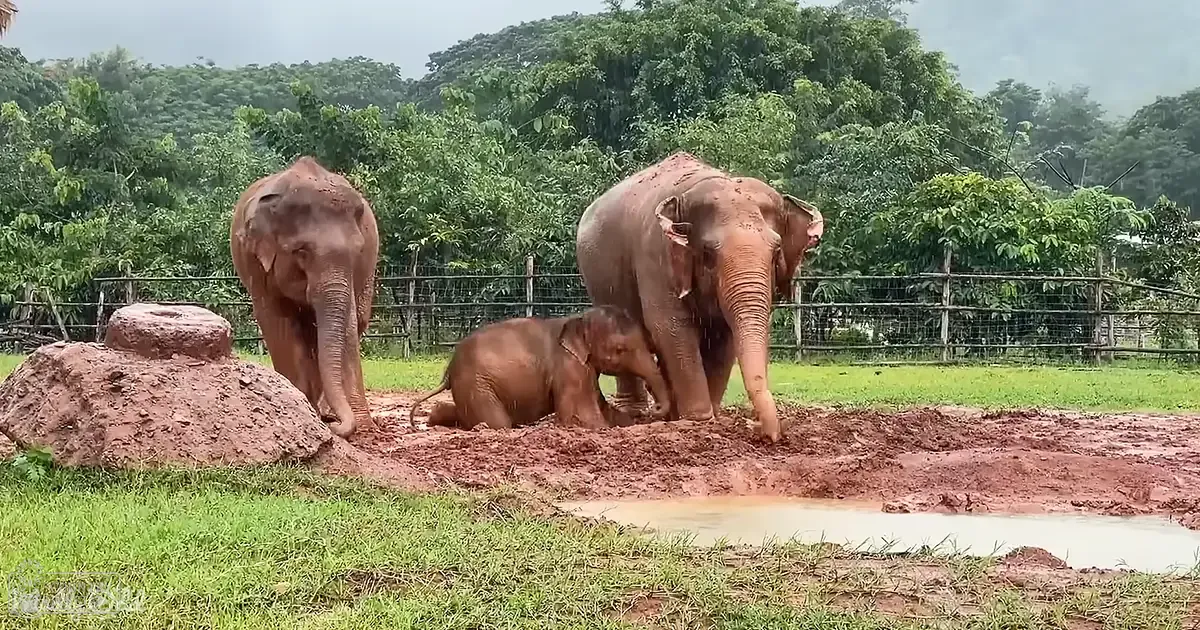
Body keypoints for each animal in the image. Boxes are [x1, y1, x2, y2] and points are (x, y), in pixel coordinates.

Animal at [230, 156, 380, 438]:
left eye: (358, 250)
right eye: (301, 252)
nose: (335, 426)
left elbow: (349, 323)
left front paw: (363, 428)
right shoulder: (255, 262)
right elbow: (276, 320)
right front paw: (301, 411)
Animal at [407, 306, 672, 431]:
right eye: (619, 349)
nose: (654, 410)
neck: (578, 319)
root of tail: (449, 371)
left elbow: (601, 406)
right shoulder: (568, 367)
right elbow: (579, 416)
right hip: (477, 384)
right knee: (497, 423)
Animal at [575, 151, 823, 443]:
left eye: (775, 252)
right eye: (707, 253)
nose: (760, 430)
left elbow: (723, 338)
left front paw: (711, 418)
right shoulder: (655, 253)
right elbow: (670, 327)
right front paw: (698, 421)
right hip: (598, 278)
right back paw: (635, 414)